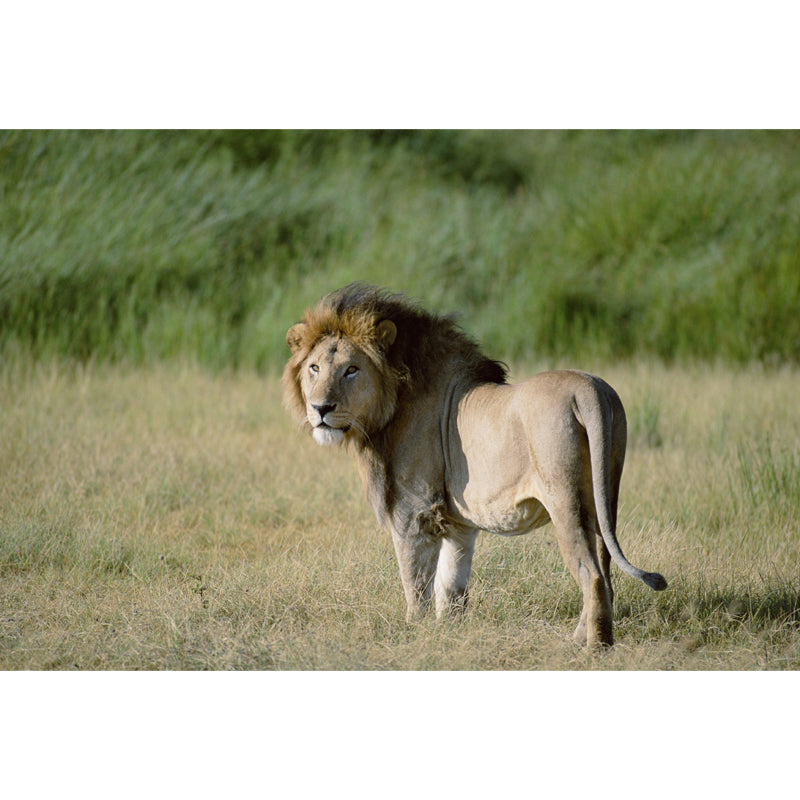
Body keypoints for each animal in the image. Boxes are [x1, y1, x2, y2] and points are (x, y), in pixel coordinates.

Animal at [282, 284, 666, 646]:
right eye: (314, 368)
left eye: (351, 370)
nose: (320, 408)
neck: (391, 404)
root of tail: (588, 389)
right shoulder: (457, 523)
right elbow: (451, 586)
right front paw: (447, 632)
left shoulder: (414, 511)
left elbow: (415, 583)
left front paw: (413, 632)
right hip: (605, 497)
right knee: (606, 569)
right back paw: (581, 638)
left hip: (565, 500)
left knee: (592, 574)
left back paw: (593, 648)